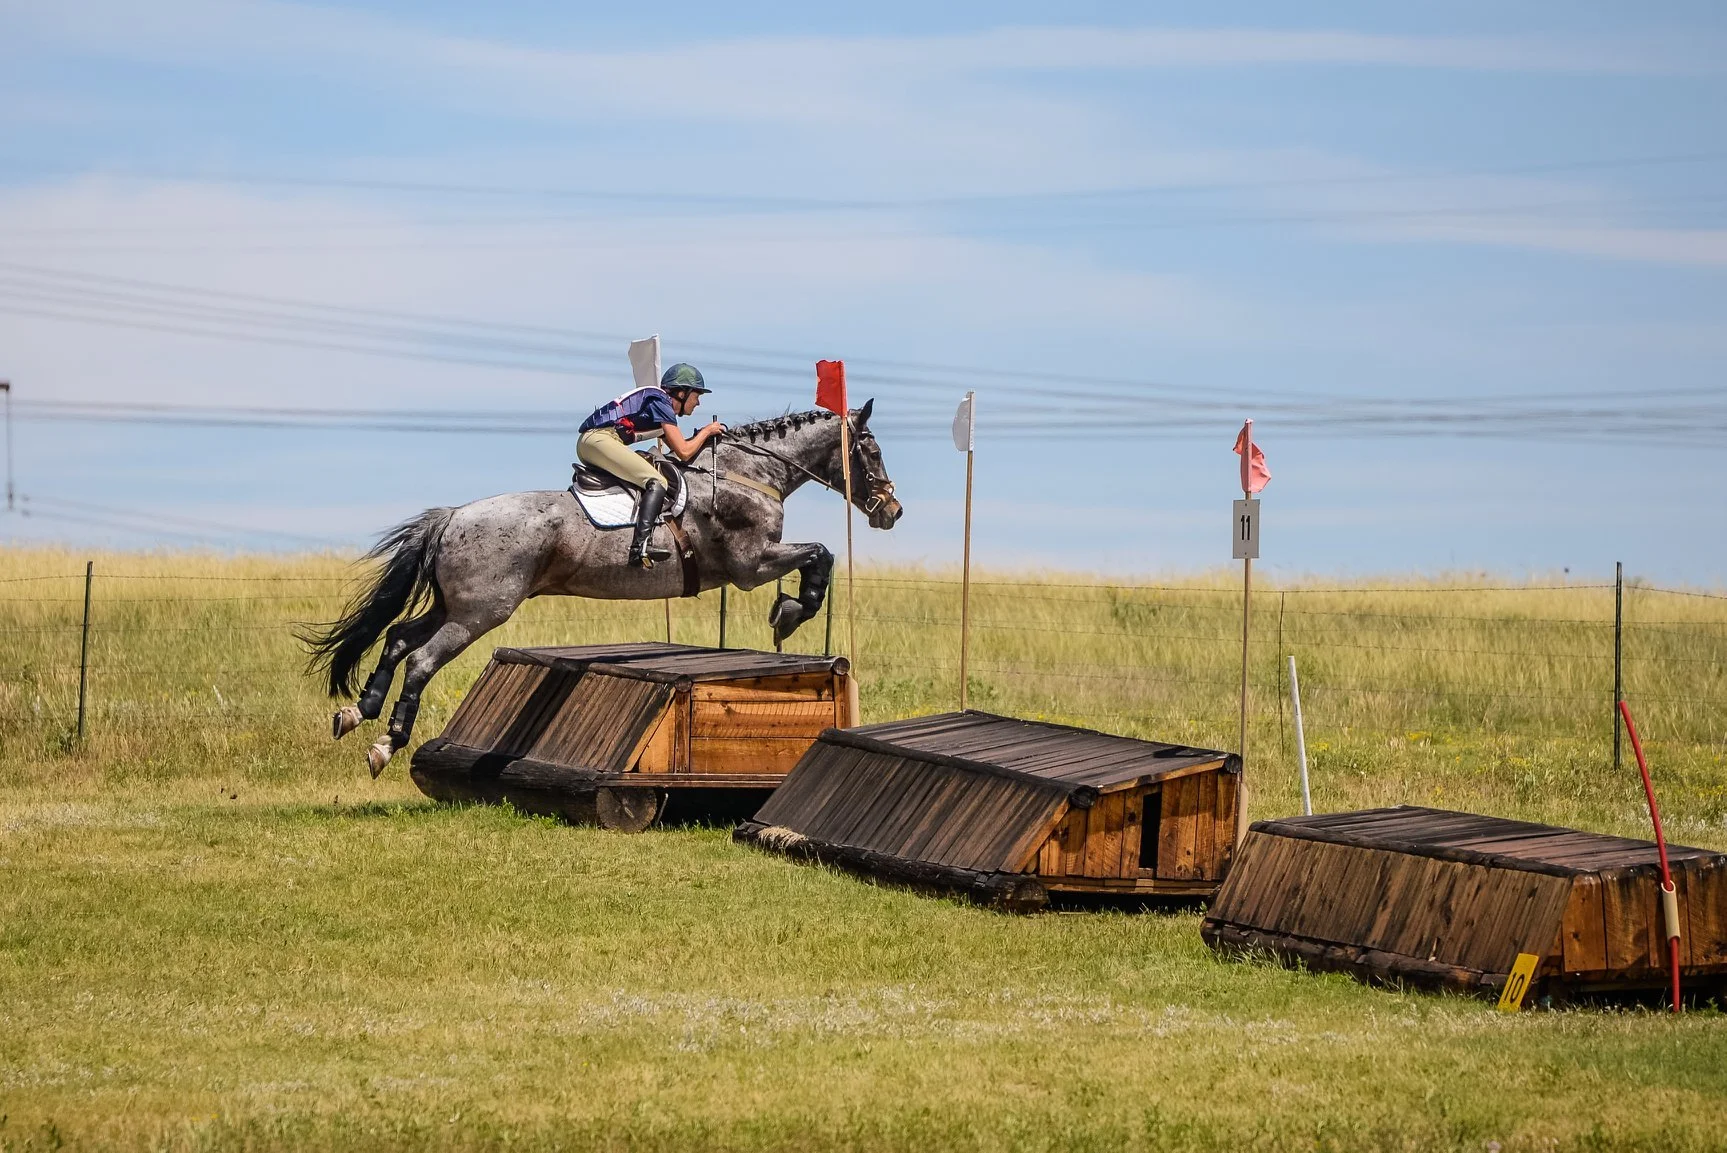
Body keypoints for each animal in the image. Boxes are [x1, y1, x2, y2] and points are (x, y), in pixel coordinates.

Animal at [301, 402, 903, 776]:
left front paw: (790, 612)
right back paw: (387, 742)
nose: (891, 512)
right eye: (871, 451)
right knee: (421, 657)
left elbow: (820, 554)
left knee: (399, 637)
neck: (745, 473)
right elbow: (820, 554)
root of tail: (452, 517)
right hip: (481, 610)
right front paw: (791, 612)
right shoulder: (748, 566)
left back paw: (358, 711)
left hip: (457, 604)